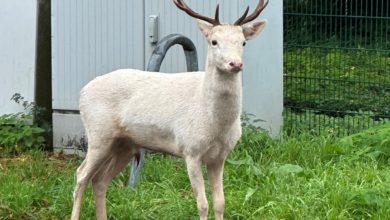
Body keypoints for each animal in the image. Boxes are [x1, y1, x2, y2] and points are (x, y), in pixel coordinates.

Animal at [71, 0, 268, 219]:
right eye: (214, 41)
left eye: (243, 42)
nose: (235, 63)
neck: (216, 125)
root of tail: (82, 92)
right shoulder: (190, 149)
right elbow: (203, 204)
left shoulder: (220, 156)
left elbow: (220, 202)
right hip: (98, 134)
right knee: (81, 175)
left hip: (124, 144)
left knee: (100, 180)